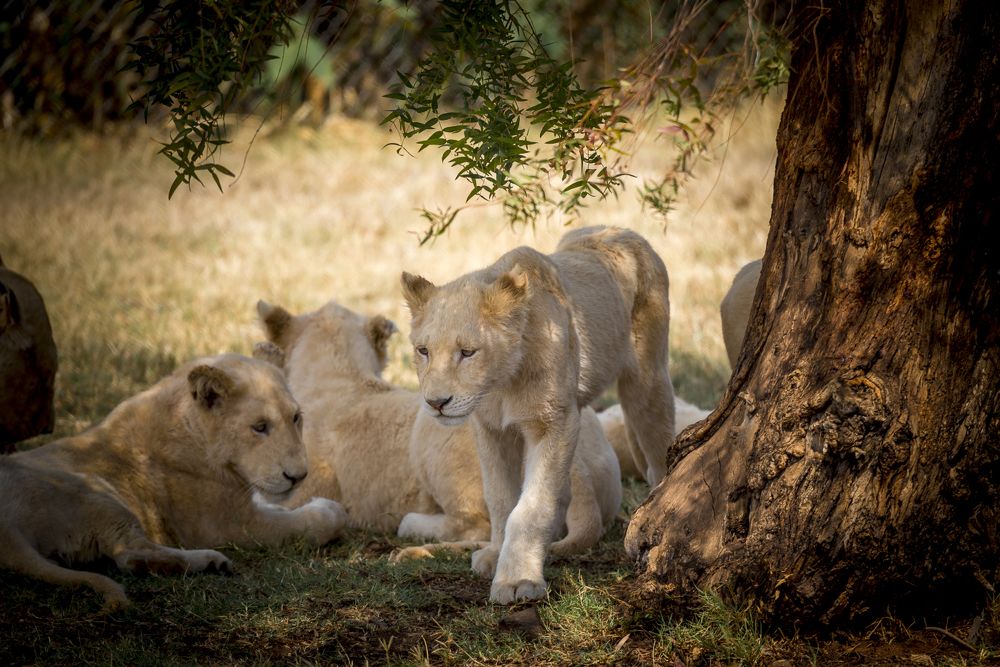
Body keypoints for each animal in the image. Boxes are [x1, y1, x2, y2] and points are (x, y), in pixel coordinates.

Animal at [0, 352, 347, 610]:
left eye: (296, 418)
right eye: (259, 427)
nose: (299, 476)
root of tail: (6, 531)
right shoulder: (228, 525)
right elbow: (308, 524)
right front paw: (331, 511)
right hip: (95, 492)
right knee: (128, 554)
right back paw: (210, 560)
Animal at [256, 299, 621, 556]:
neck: (340, 374)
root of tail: (578, 467)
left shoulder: (300, 485)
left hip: (434, 434)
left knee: (478, 524)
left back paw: (411, 531)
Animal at [401, 225, 674, 603]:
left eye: (468, 352)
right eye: (423, 351)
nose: (436, 403)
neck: (501, 383)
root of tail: (624, 231)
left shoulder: (554, 422)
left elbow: (532, 507)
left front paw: (517, 580)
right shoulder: (491, 428)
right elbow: (500, 498)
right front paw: (494, 554)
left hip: (647, 380)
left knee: (659, 448)